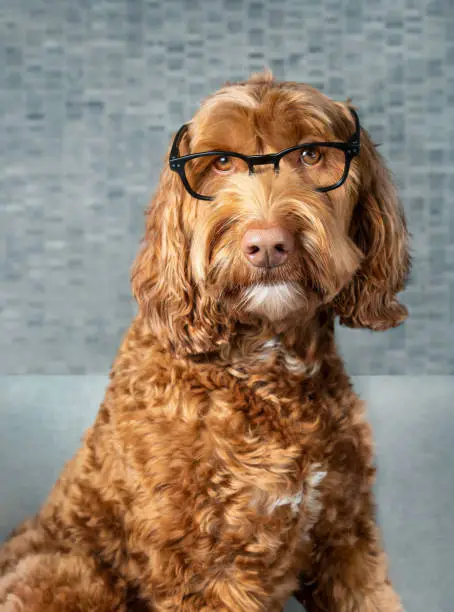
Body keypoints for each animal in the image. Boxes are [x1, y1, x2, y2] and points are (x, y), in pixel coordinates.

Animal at [0, 70, 412, 608]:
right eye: (220, 163)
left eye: (309, 154)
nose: (268, 244)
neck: (265, 366)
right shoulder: (207, 570)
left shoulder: (344, 535)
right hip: (68, 573)